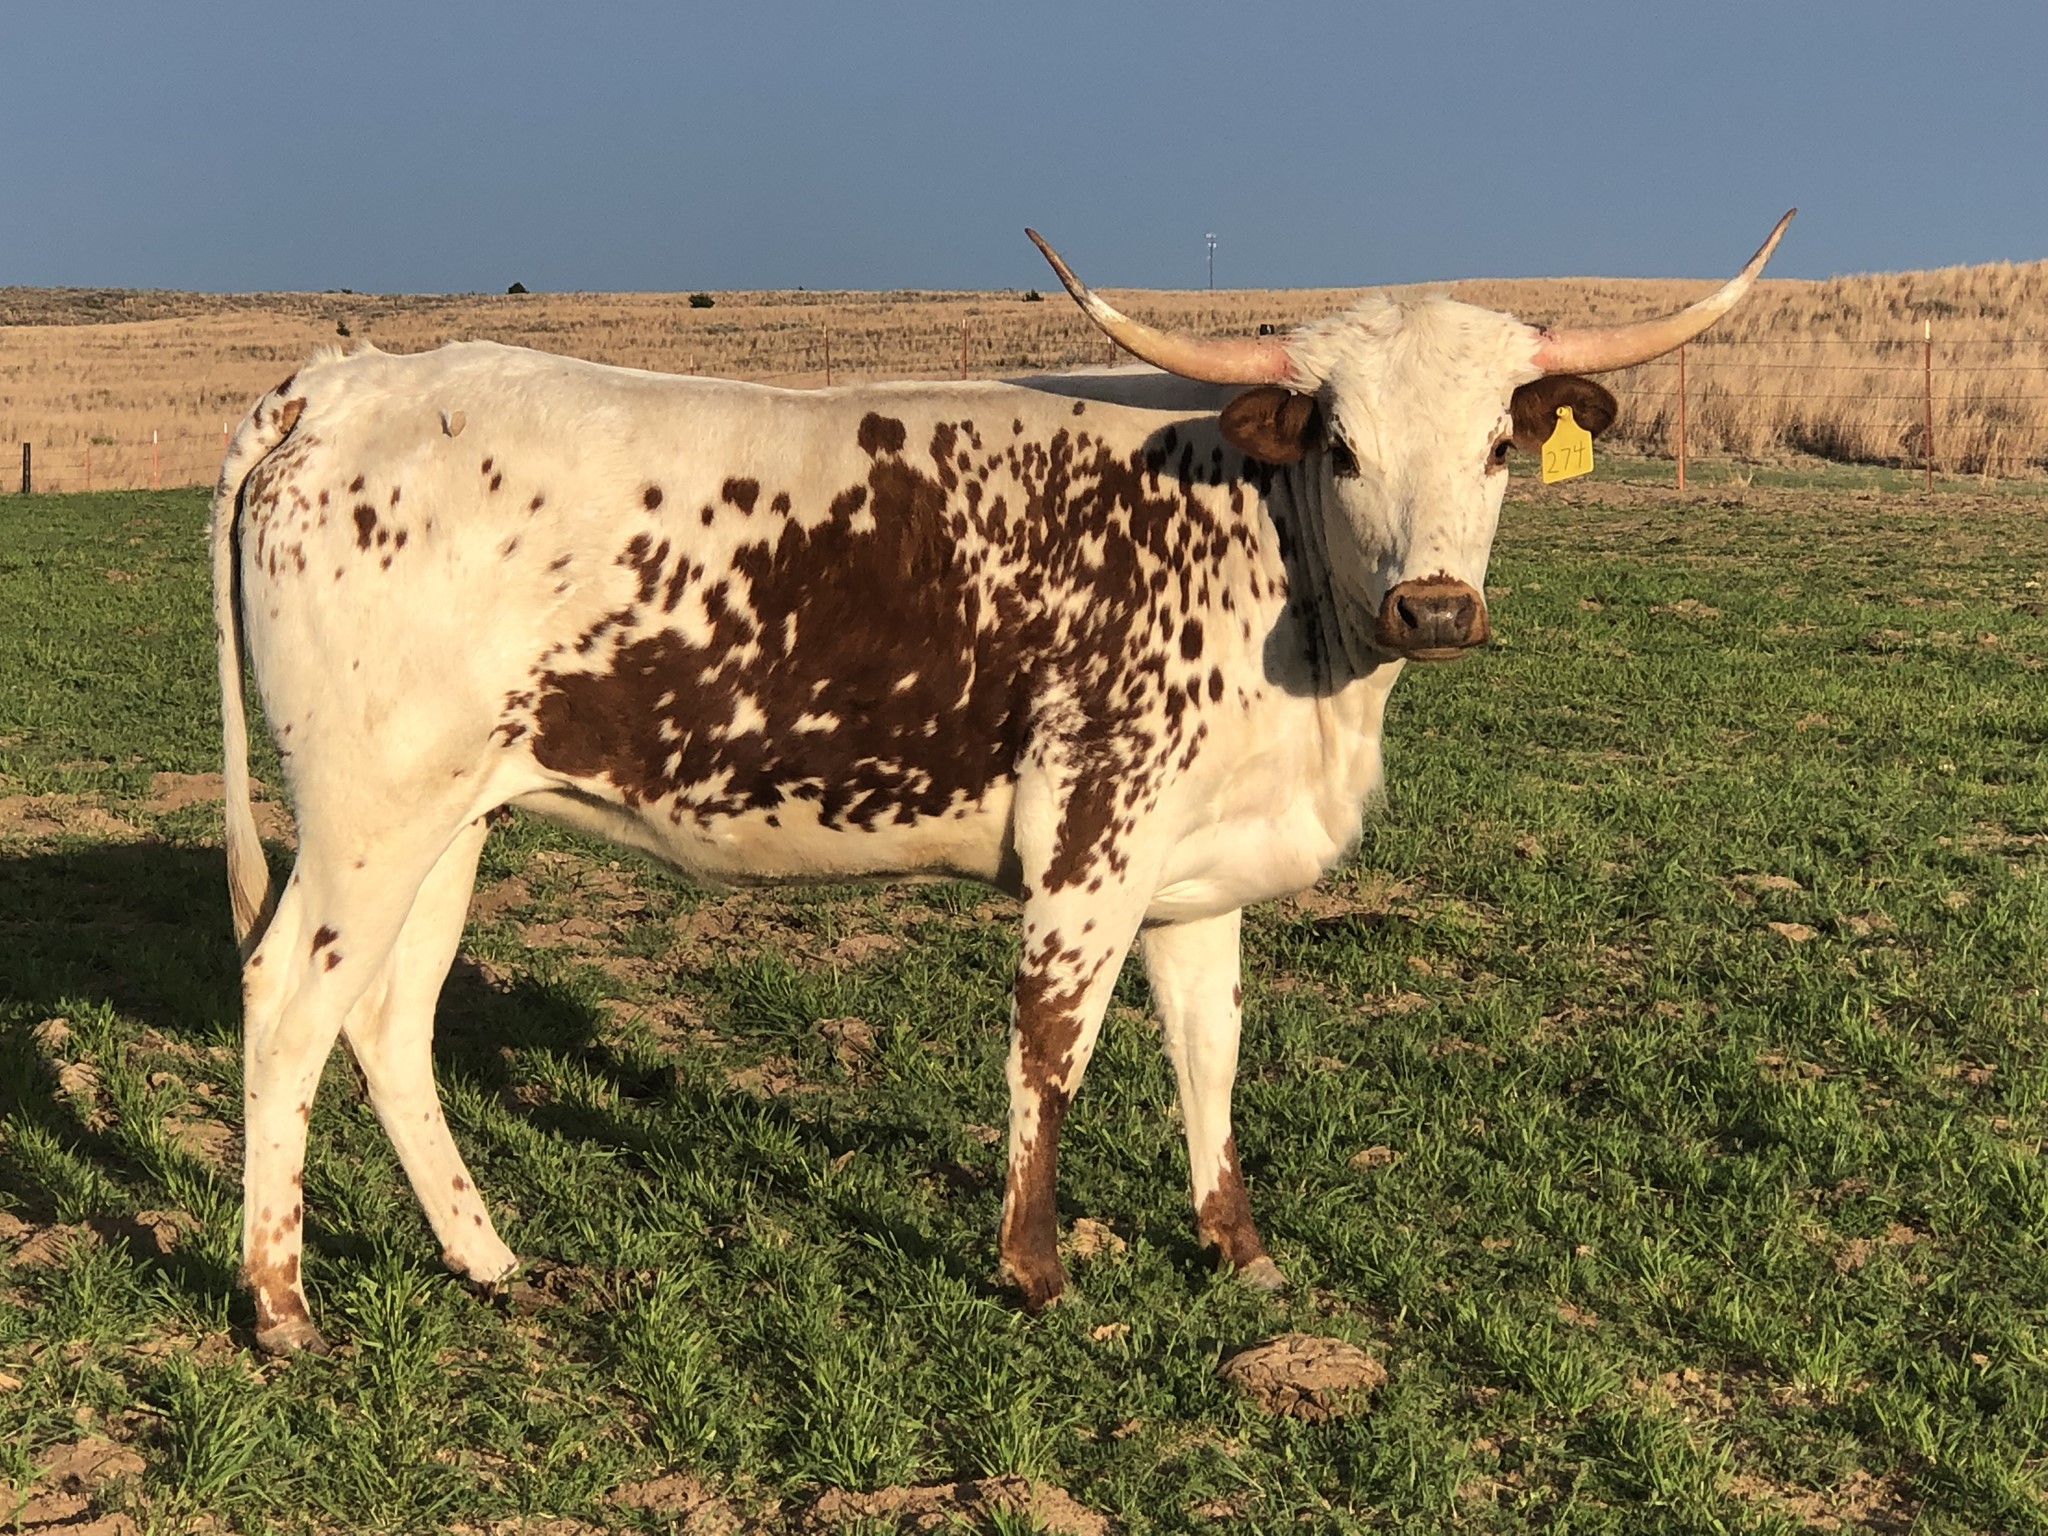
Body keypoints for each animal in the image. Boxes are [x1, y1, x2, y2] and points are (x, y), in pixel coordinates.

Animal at [212, 214, 1791, 1353]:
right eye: (1341, 443)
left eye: (1498, 444)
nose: (1439, 608)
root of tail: (337, 381)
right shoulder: (1092, 843)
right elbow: (1052, 1045)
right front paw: (1032, 1270)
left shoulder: (1194, 869)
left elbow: (1210, 1047)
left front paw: (1237, 1250)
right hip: (365, 814)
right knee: (289, 1000)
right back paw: (281, 1308)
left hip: (450, 818)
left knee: (390, 1019)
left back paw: (486, 1259)